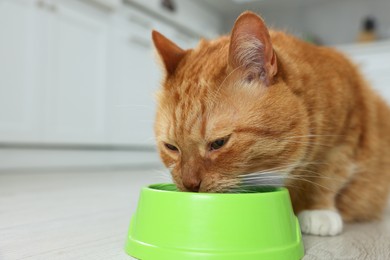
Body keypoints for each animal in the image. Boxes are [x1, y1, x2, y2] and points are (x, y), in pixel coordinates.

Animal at [151, 11, 390, 236]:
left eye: (219, 143)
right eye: (171, 147)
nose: (190, 185)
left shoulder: (348, 132)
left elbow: (328, 174)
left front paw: (318, 210)